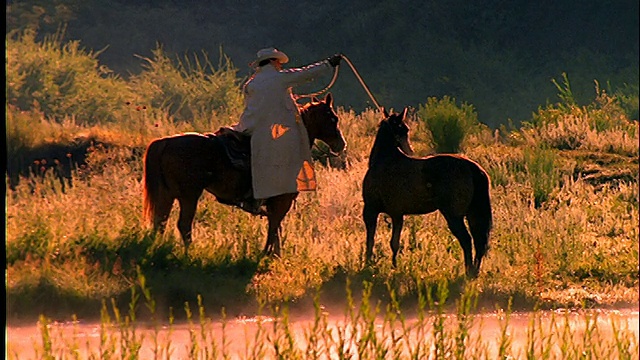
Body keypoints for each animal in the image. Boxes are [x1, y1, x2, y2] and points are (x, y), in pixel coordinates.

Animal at [143, 93, 348, 256]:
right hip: (189, 196)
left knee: (160, 221)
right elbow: (274, 227)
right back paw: (189, 253)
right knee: (183, 225)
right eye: (333, 119)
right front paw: (268, 255)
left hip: (167, 195)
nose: (341, 144)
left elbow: (276, 229)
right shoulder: (282, 201)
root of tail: (166, 142)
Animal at [362, 108, 492, 278]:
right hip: (472, 214)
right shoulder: (397, 214)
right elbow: (394, 243)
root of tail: (472, 168)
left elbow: (371, 240)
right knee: (478, 241)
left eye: (406, 129)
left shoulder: (371, 210)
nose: (410, 150)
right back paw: (474, 271)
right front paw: (394, 266)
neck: (385, 161)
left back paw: (468, 271)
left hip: (454, 215)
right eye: (401, 129)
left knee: (466, 240)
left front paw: (368, 264)